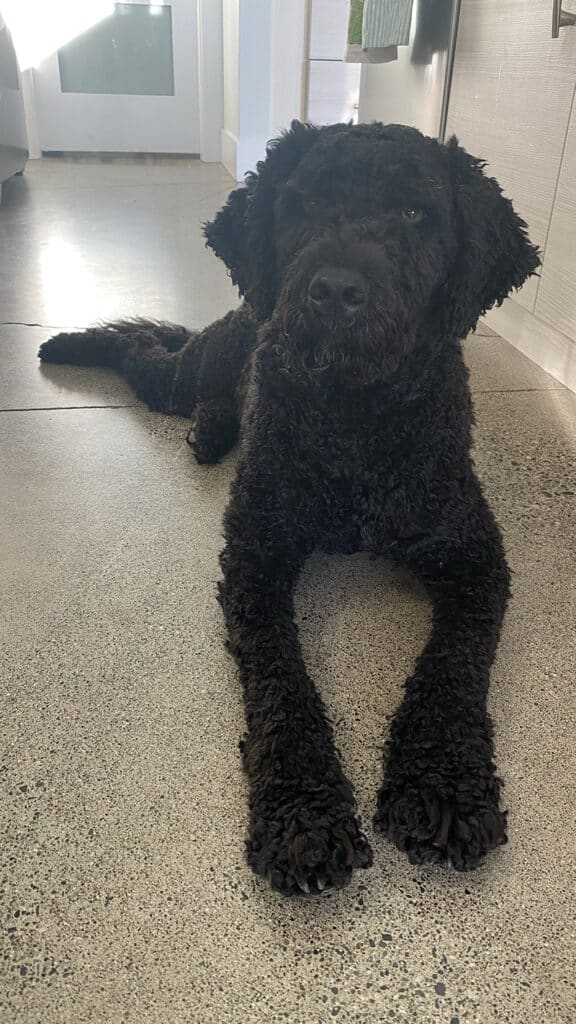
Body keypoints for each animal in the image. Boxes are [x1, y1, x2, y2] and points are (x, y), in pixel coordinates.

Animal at [40, 121, 537, 897]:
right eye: (302, 204)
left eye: (416, 213)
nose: (333, 290)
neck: (355, 419)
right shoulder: (257, 557)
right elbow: (281, 682)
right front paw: (304, 815)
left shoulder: (475, 557)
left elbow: (454, 666)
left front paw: (444, 785)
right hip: (184, 375)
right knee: (144, 350)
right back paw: (84, 349)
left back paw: (213, 429)